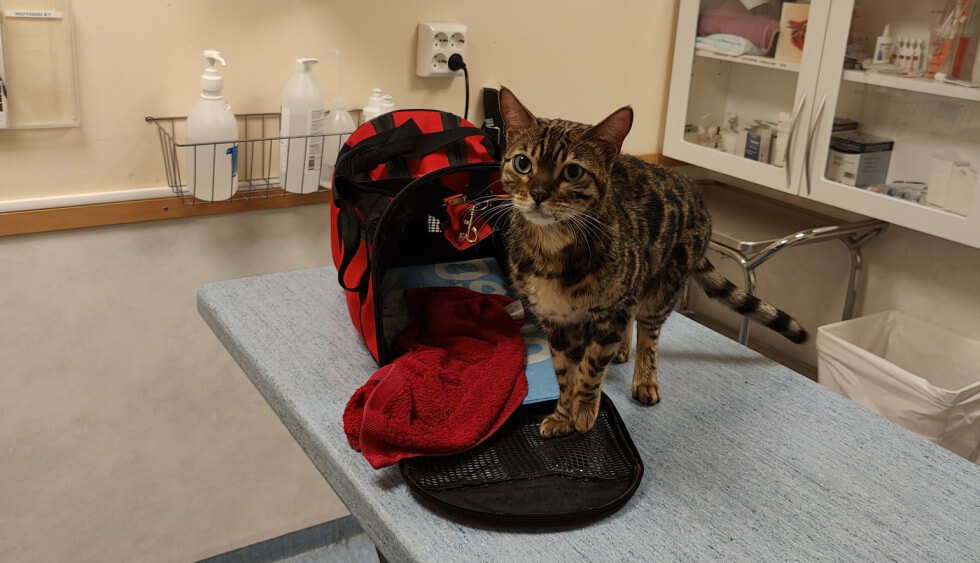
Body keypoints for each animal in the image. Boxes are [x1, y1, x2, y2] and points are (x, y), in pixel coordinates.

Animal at [496, 87, 807, 438]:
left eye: (572, 172)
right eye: (523, 163)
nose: (538, 193)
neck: (551, 249)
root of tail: (695, 190)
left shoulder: (611, 311)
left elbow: (590, 368)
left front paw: (583, 410)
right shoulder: (557, 322)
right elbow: (565, 374)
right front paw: (564, 414)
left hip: (663, 287)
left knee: (649, 334)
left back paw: (644, 378)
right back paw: (622, 349)